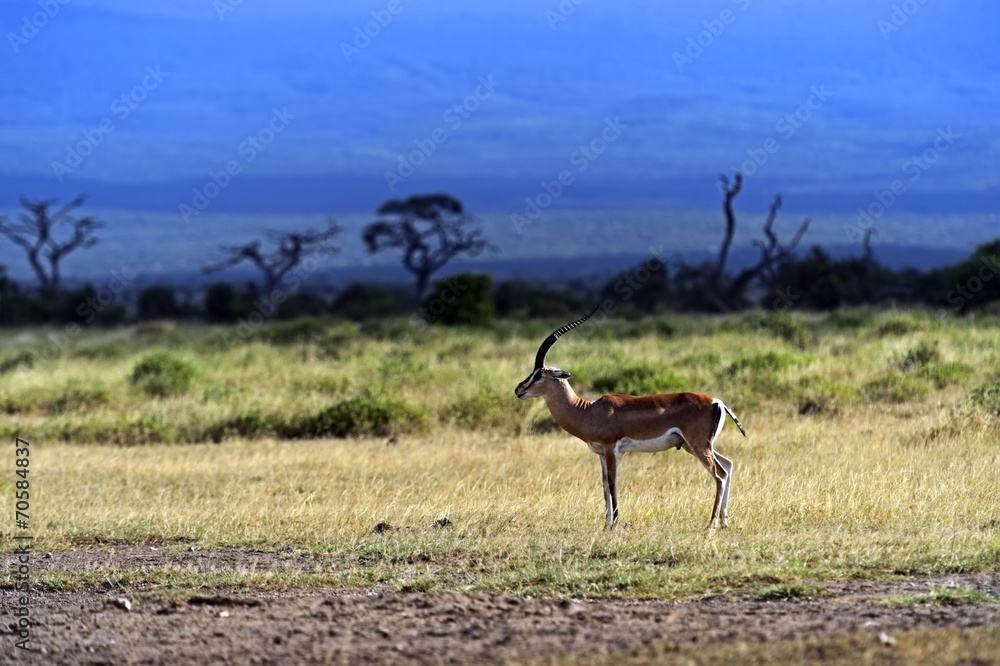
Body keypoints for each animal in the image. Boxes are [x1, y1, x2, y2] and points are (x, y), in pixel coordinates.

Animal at [514, 307, 746, 529]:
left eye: (538, 374)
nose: (518, 390)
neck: (587, 411)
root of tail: (717, 401)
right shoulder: (600, 453)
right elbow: (604, 485)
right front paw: (606, 523)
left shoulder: (612, 448)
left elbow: (613, 483)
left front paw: (615, 523)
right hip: (696, 446)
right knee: (728, 466)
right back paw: (724, 522)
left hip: (699, 446)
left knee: (719, 475)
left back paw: (711, 523)